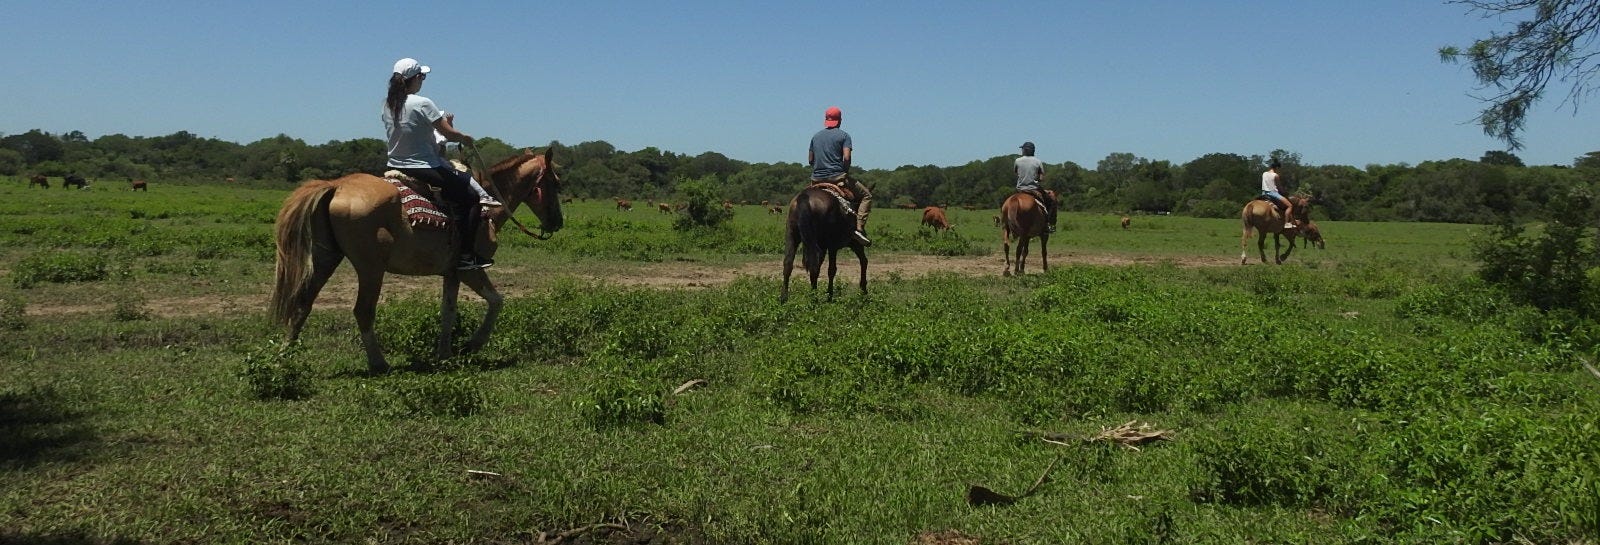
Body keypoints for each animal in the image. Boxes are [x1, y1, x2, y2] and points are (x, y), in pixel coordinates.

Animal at [264, 146, 563, 370]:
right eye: (555, 183)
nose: (557, 222)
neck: (487, 207)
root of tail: (336, 186)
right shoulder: (470, 269)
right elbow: (497, 301)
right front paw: (472, 344)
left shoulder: (451, 272)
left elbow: (448, 312)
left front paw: (445, 353)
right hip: (370, 268)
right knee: (362, 310)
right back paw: (379, 363)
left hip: (326, 258)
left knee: (302, 303)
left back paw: (283, 357)